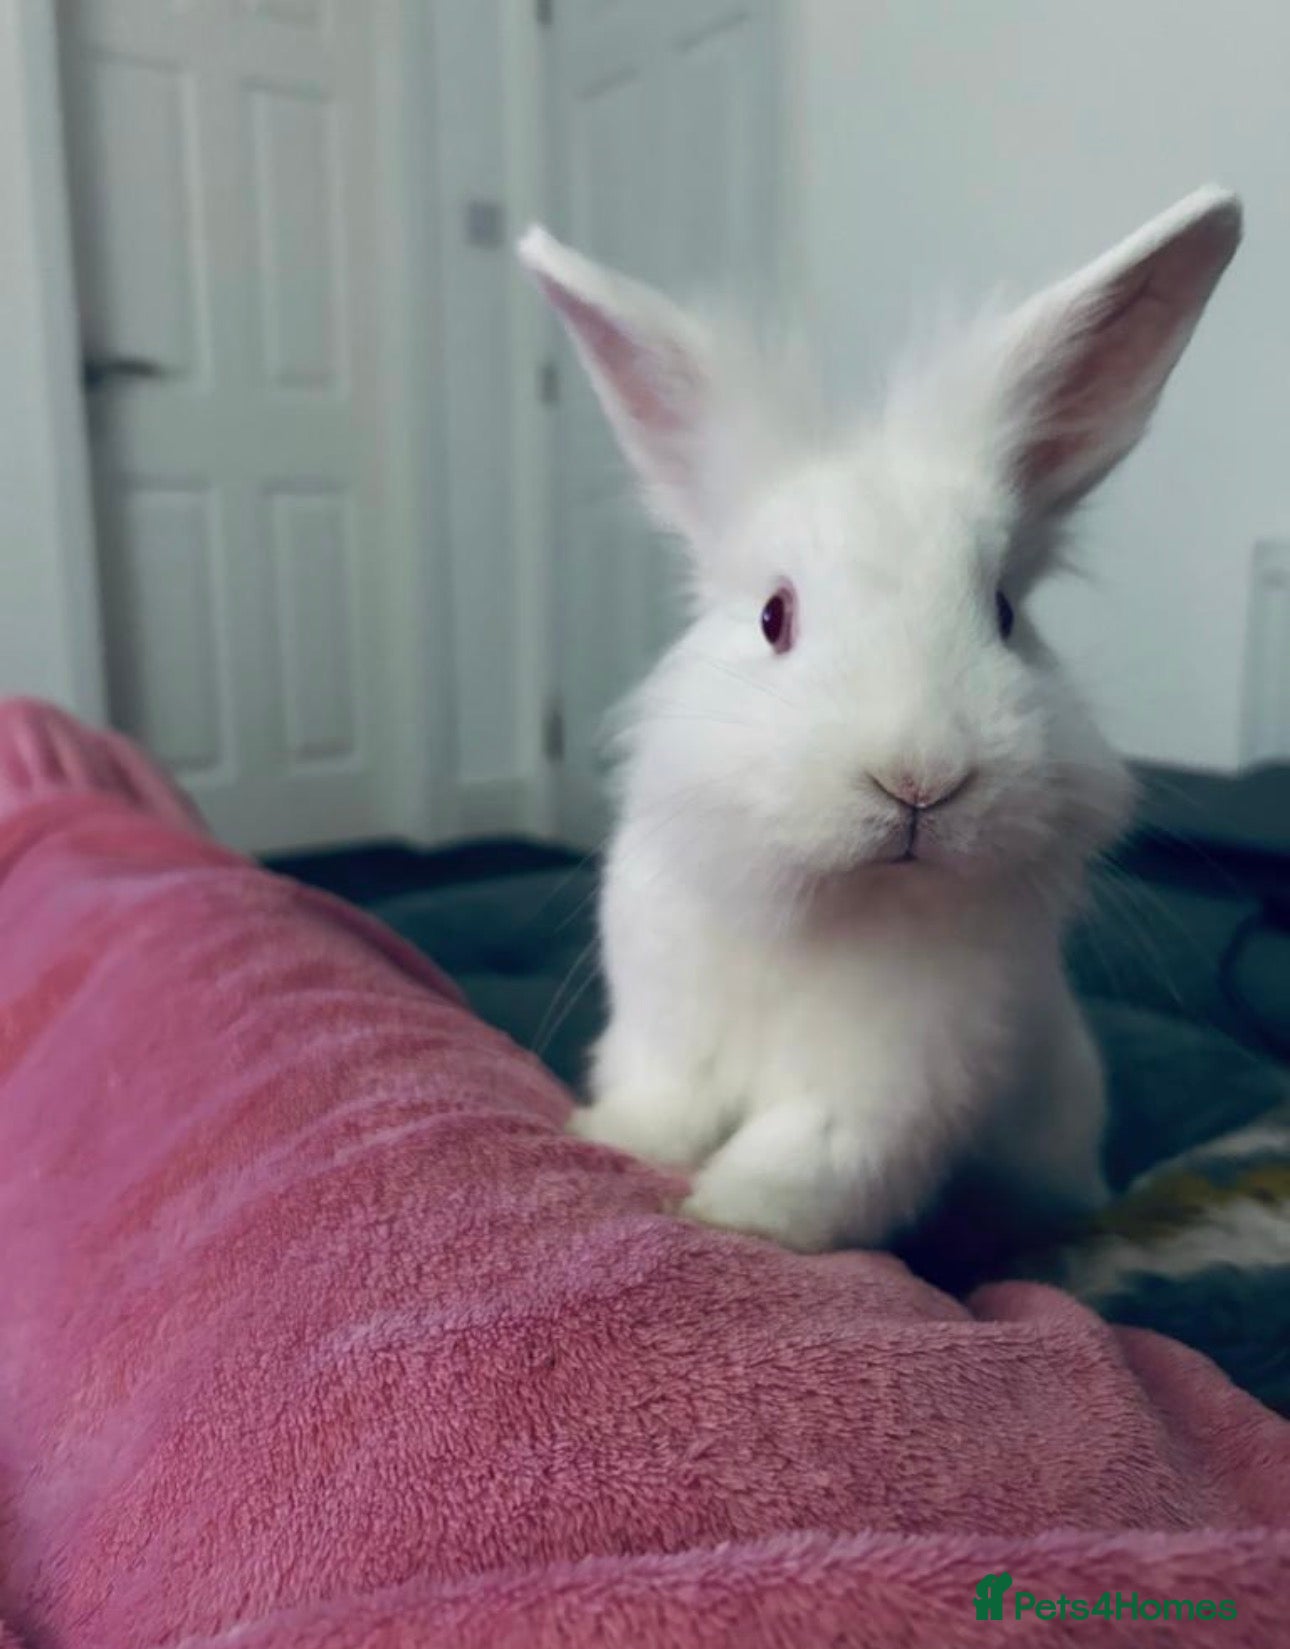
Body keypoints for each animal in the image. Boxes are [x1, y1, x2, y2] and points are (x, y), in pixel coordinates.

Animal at [517, 187, 1242, 1254]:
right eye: (774, 616)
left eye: (1005, 613)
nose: (918, 778)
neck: (833, 904)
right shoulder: (667, 1025)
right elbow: (666, 1105)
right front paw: (613, 1140)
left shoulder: (891, 1089)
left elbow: (810, 1159)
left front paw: (725, 1217)